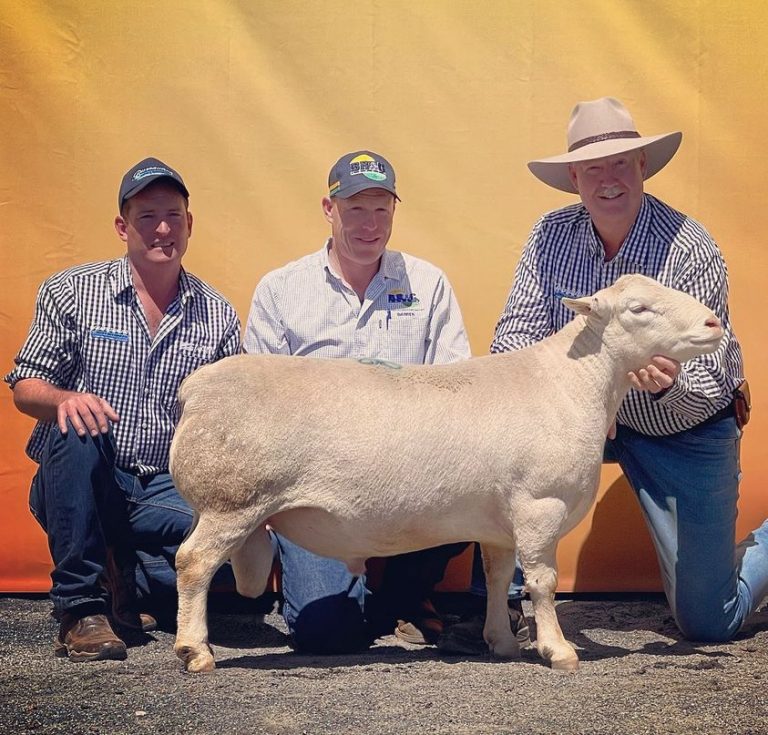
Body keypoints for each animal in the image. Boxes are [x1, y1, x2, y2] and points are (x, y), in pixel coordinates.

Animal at [169, 274, 723, 673]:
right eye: (639, 309)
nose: (715, 324)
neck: (572, 384)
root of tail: (195, 388)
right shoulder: (539, 505)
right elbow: (542, 583)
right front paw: (559, 651)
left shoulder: (500, 522)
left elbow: (499, 579)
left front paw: (502, 642)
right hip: (232, 500)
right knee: (193, 563)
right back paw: (195, 652)